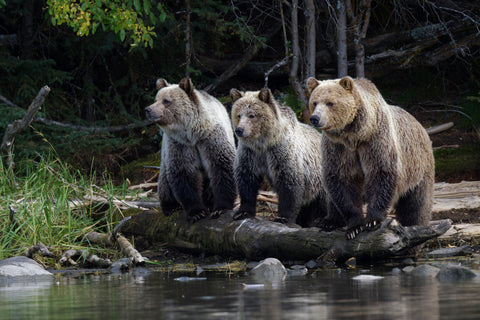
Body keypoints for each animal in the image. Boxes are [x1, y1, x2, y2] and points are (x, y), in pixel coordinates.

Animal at [146, 78, 236, 222]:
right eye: (156, 99)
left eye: (166, 101)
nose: (148, 110)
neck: (192, 133)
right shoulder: (179, 144)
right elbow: (184, 172)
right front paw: (196, 212)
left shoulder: (210, 138)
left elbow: (222, 165)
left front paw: (220, 208)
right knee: (164, 183)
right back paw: (171, 206)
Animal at [231, 87, 328, 228]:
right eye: (238, 115)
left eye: (252, 115)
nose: (239, 130)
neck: (264, 143)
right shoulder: (250, 153)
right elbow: (247, 179)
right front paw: (242, 212)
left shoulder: (281, 152)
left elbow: (288, 183)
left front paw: (283, 218)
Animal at [308, 76, 436, 239]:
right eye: (314, 102)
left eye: (330, 103)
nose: (315, 118)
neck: (354, 134)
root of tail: (421, 126)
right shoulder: (337, 148)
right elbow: (342, 180)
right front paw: (354, 227)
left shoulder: (375, 140)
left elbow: (380, 173)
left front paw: (372, 220)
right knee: (331, 197)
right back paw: (328, 221)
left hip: (418, 168)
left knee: (416, 204)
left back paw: (416, 225)